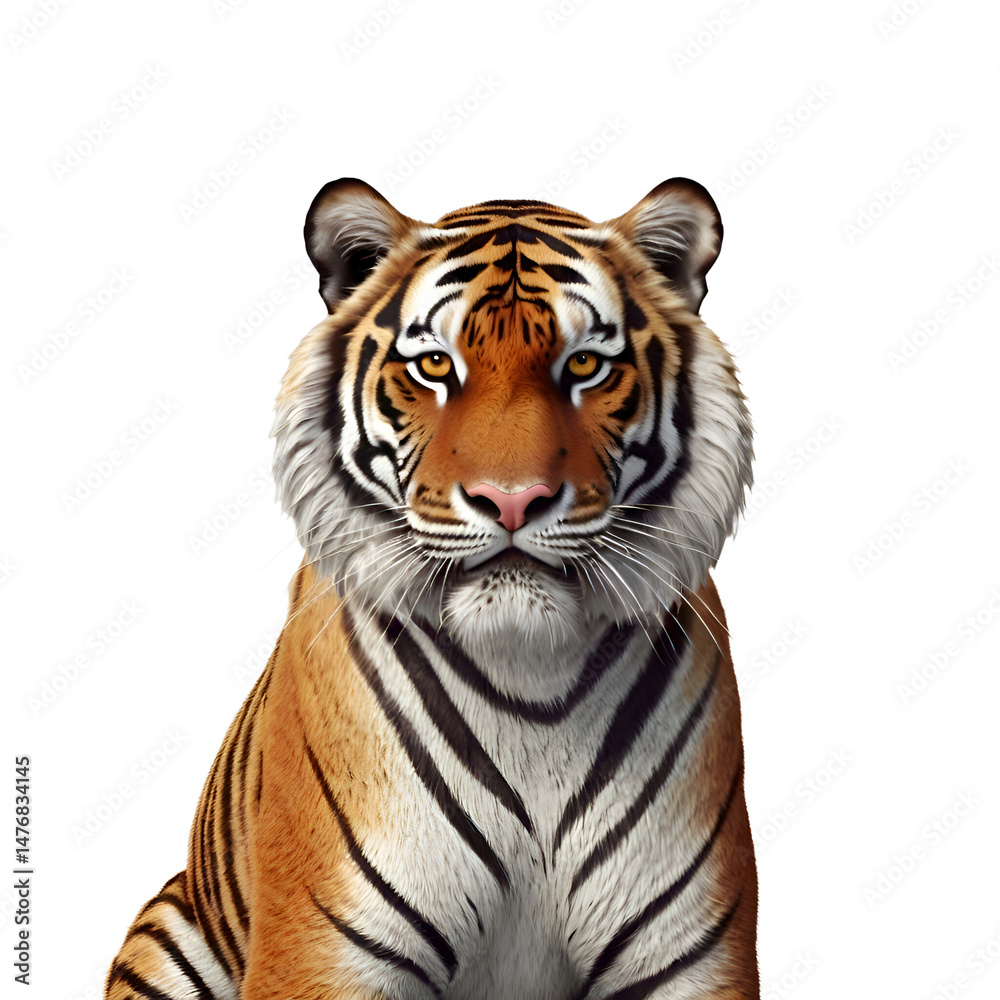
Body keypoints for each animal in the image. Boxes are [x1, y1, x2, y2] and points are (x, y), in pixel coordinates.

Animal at [105, 176, 757, 1000]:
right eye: (436, 367)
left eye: (584, 365)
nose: (512, 500)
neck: (531, 682)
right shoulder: (323, 949)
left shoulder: (692, 953)